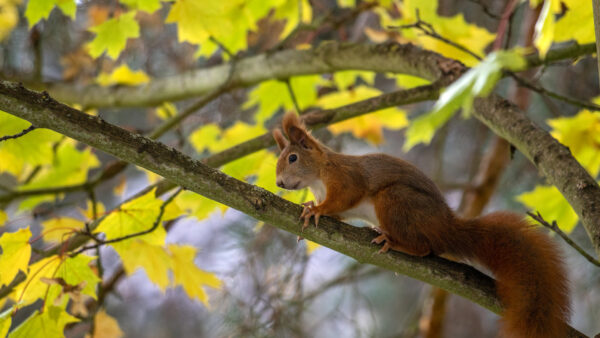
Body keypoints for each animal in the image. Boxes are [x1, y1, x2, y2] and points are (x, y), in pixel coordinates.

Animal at [274, 113, 568, 338]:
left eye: (292, 158)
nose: (278, 183)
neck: (318, 176)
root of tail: (445, 228)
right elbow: (339, 214)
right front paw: (311, 206)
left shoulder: (345, 178)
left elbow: (345, 196)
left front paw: (316, 209)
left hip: (395, 201)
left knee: (424, 247)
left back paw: (395, 241)